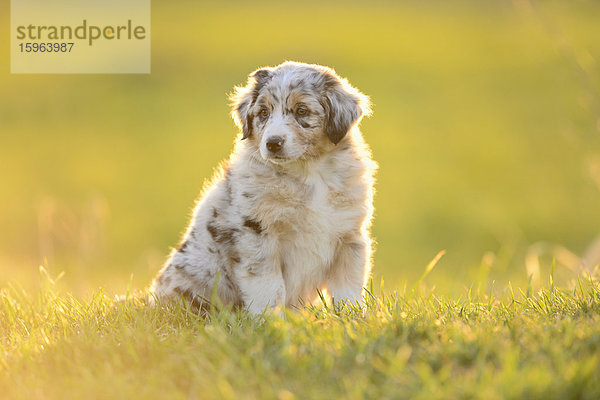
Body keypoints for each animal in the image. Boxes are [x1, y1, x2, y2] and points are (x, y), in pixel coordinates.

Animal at [150, 61, 376, 314]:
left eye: (302, 111)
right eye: (263, 113)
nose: (273, 143)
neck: (308, 173)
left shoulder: (349, 236)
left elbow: (348, 287)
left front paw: (352, 316)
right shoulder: (257, 235)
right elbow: (269, 287)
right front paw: (270, 319)